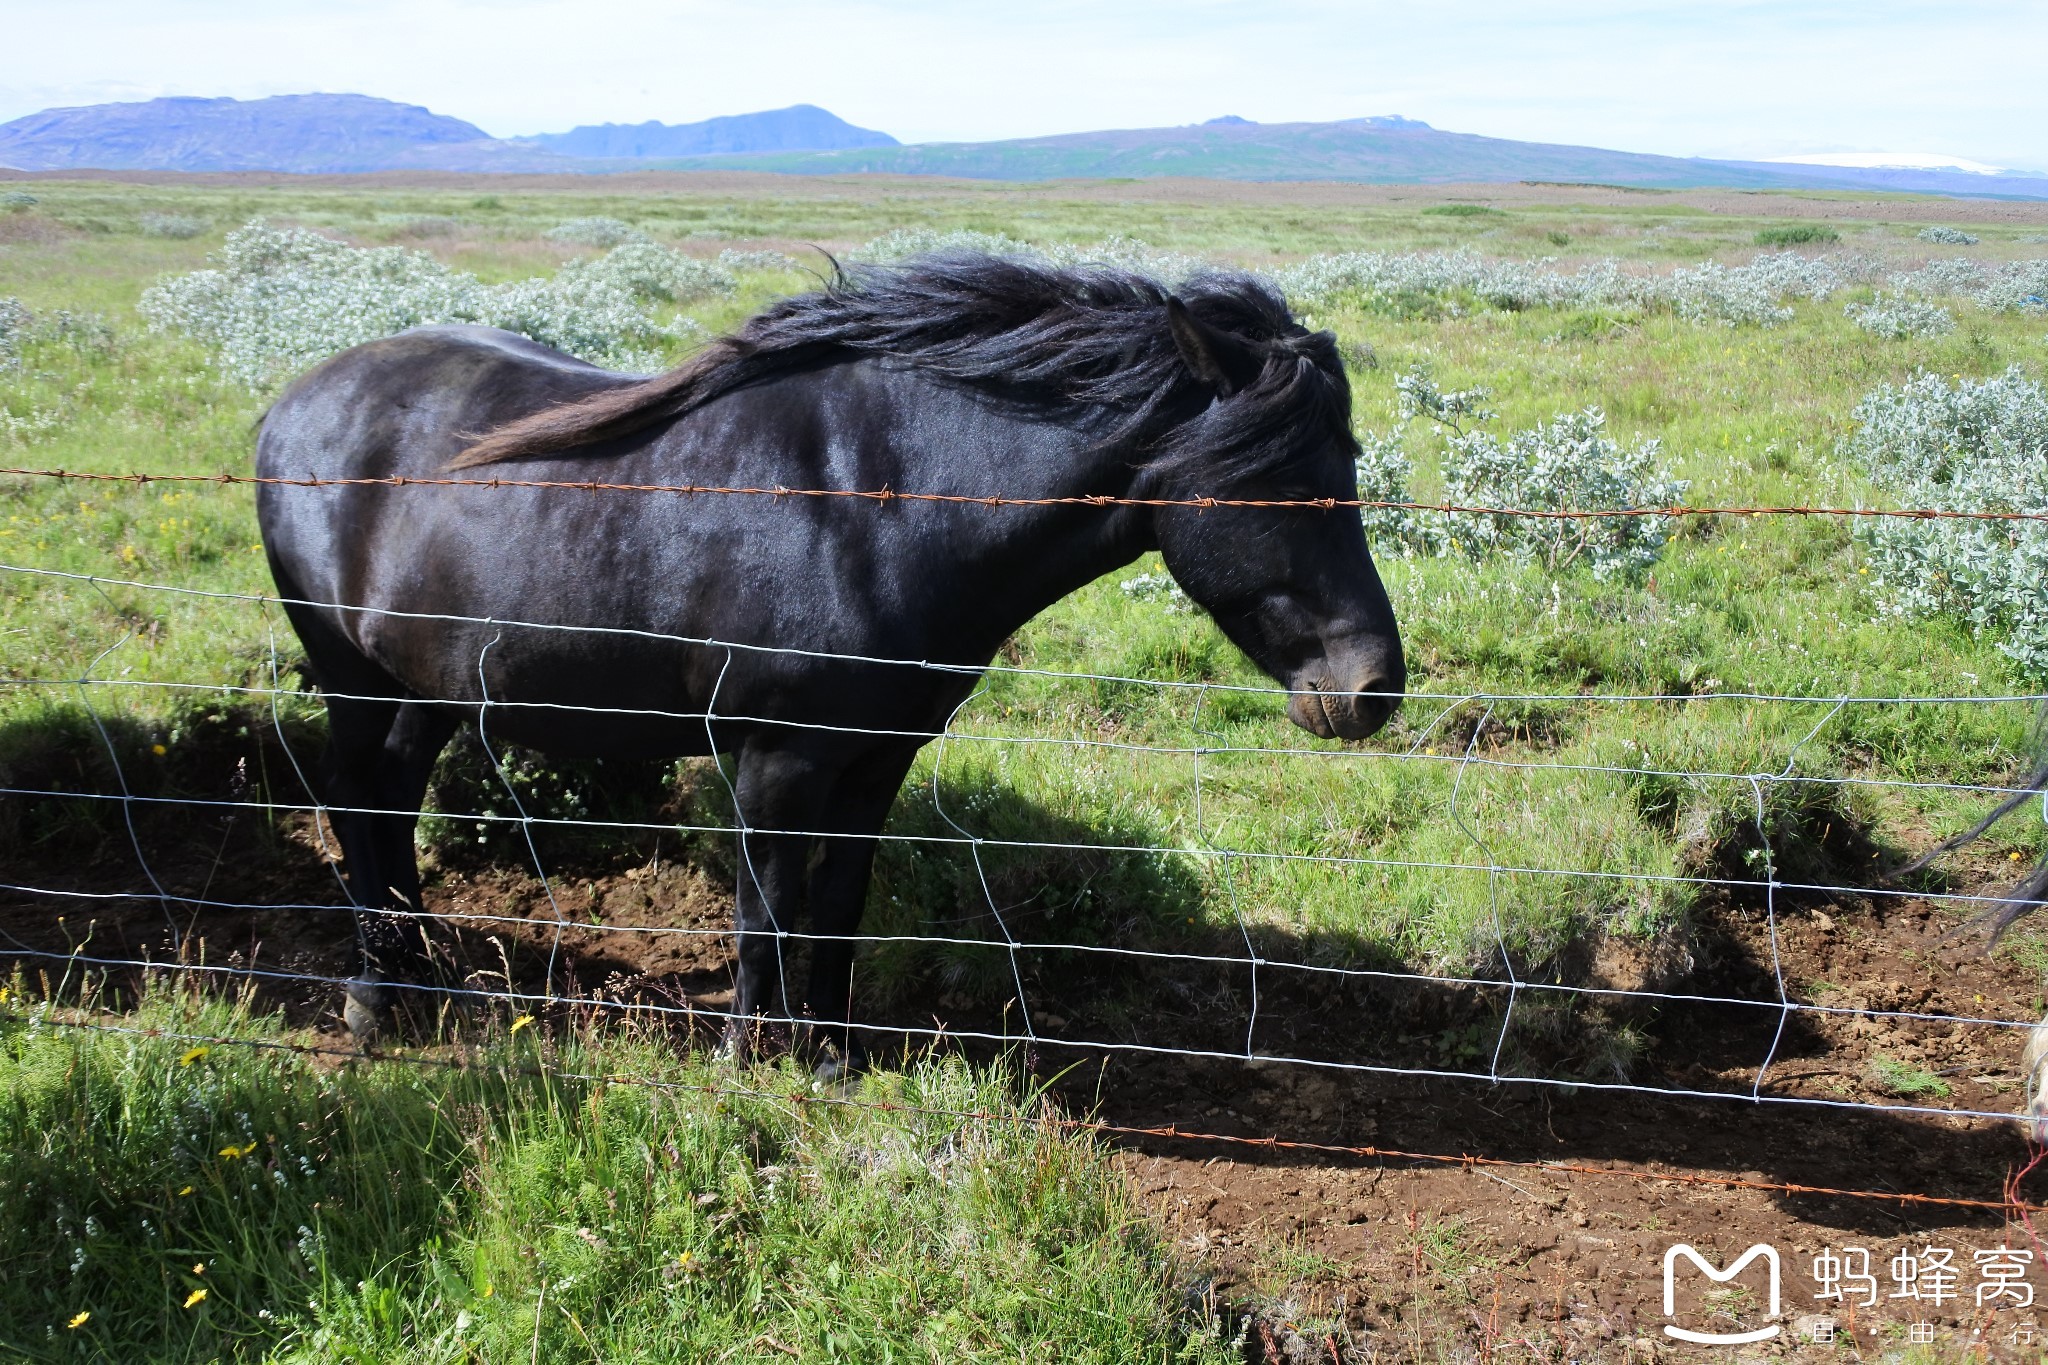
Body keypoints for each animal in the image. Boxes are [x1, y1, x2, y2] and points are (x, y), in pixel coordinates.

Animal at [256, 255, 1409, 1055]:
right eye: (1279, 481)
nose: (1371, 689)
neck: (882, 507)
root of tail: (292, 400)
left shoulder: (876, 759)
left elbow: (836, 908)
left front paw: (831, 1058)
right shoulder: (776, 760)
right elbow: (763, 918)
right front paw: (747, 1065)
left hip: (425, 685)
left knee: (395, 800)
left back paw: (423, 978)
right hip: (351, 677)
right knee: (356, 804)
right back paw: (375, 998)